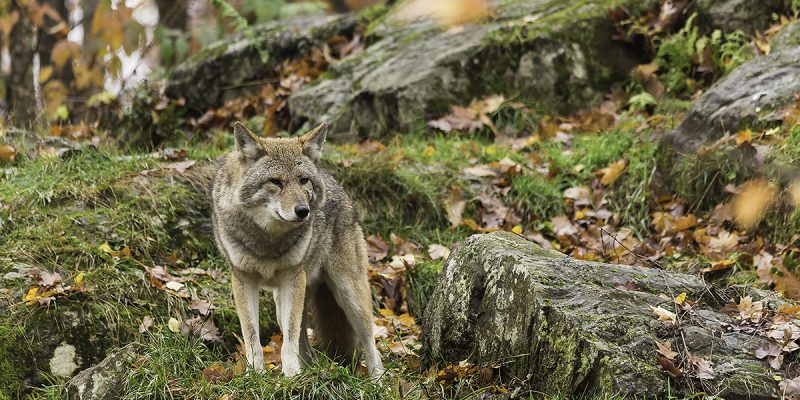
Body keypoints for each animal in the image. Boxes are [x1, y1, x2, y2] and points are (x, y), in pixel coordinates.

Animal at [211, 122, 386, 378]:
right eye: (276, 182)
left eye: (303, 181)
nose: (303, 211)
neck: (268, 239)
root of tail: (339, 186)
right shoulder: (243, 278)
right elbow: (252, 337)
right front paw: (256, 375)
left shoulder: (292, 277)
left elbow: (289, 340)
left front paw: (291, 375)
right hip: (284, 301)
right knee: (307, 347)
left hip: (350, 294)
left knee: (371, 343)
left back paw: (376, 381)